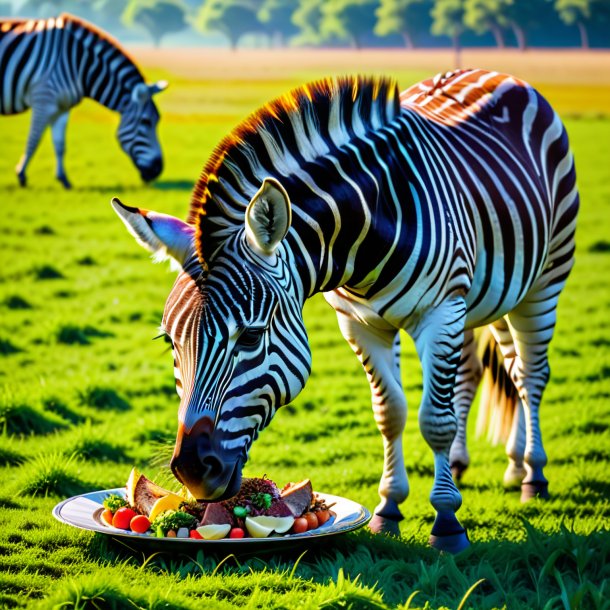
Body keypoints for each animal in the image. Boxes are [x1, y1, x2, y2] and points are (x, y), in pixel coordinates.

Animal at [0, 14, 166, 190]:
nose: (158, 169)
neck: (77, 63)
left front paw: (64, 180)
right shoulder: (43, 100)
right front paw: (21, 175)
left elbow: (60, 145)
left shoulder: (62, 107)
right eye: (146, 121)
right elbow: (33, 140)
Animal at [110, 70, 580, 552]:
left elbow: (435, 421)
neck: (368, 229)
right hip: (486, 298)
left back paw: (532, 474)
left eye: (251, 336)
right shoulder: (361, 324)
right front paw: (389, 508)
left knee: (529, 375)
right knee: (481, 372)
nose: (191, 471)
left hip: (543, 280)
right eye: (170, 342)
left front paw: (447, 521)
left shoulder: (440, 312)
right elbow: (390, 413)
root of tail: (499, 75)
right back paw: (491, 464)